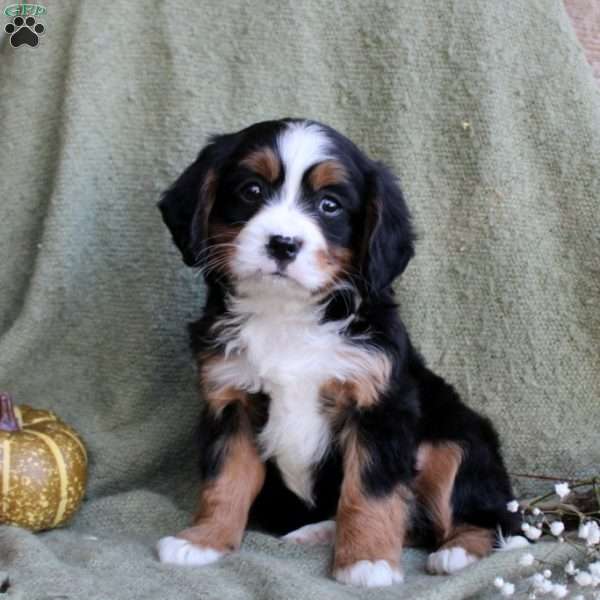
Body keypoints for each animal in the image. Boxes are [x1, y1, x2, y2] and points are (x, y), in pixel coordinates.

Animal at [156, 119, 524, 588]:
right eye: (251, 191)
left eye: (329, 205)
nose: (283, 243)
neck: (287, 315)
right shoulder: (231, 400)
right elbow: (225, 480)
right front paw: (203, 540)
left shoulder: (377, 405)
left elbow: (370, 492)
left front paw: (366, 560)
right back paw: (317, 531)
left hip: (455, 441)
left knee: (486, 518)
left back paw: (456, 553)